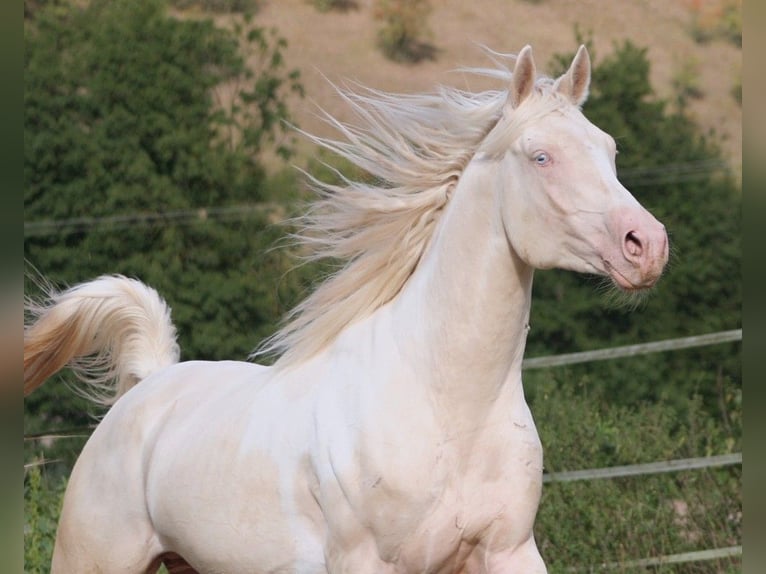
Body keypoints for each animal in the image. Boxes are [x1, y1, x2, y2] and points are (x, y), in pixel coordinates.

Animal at [27, 46, 668, 574]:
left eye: (610, 150)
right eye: (541, 157)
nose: (647, 244)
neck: (447, 407)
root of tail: (146, 389)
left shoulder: (509, 551)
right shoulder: (365, 562)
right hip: (93, 561)